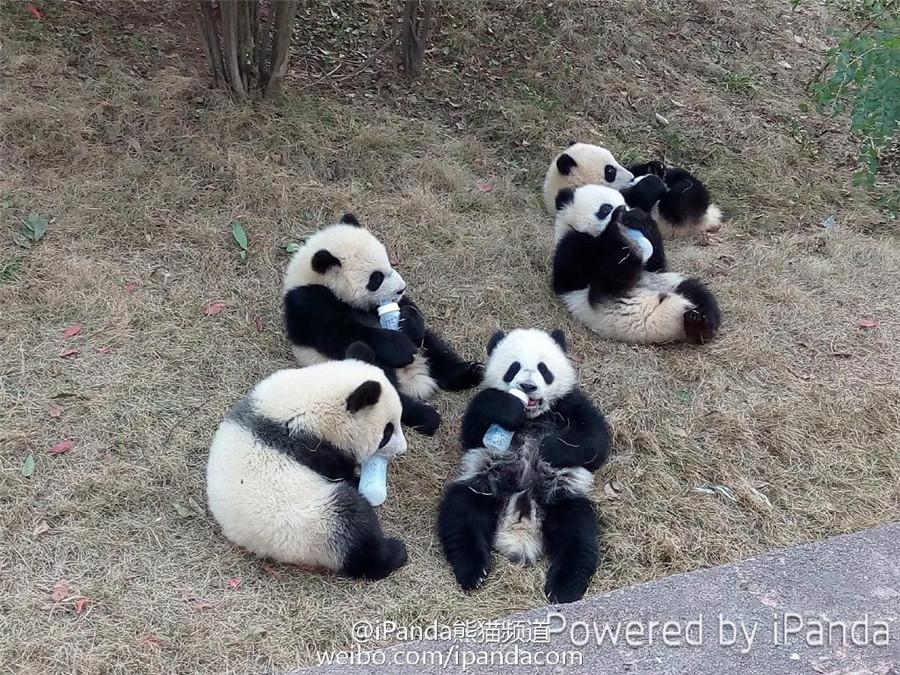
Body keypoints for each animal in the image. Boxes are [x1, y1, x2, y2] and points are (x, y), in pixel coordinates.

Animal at [206, 343, 409, 579]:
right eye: (387, 432)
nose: (402, 450)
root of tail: (259, 547)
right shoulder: (312, 447)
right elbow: (339, 471)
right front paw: (356, 477)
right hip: (313, 525)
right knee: (353, 525)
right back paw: (394, 552)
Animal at [282, 213, 483, 436]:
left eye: (389, 264)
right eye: (376, 278)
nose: (401, 288)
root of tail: (413, 379)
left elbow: (409, 310)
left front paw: (406, 320)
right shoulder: (307, 304)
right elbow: (338, 334)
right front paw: (400, 347)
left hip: (426, 350)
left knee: (433, 345)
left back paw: (468, 373)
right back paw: (427, 417)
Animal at [438, 328, 610, 604]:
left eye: (543, 369)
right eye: (514, 368)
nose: (527, 387)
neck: (533, 418)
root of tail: (521, 522)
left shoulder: (570, 402)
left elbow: (596, 442)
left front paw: (550, 449)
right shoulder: (481, 414)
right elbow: (472, 431)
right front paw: (507, 408)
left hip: (562, 496)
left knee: (578, 533)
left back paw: (565, 587)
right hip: (484, 483)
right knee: (461, 513)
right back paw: (473, 570)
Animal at [553, 184, 721, 344]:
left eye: (626, 203)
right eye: (606, 208)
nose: (622, 210)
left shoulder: (654, 267)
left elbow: (657, 264)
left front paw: (638, 217)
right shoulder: (570, 245)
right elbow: (572, 276)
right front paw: (616, 227)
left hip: (672, 286)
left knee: (699, 293)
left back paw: (698, 325)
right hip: (602, 302)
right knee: (612, 278)